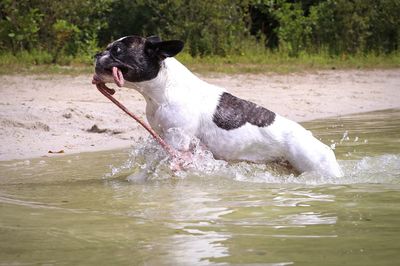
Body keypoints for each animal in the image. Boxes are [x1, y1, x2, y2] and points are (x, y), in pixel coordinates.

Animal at [94, 35, 344, 177]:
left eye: (117, 51)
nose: (97, 54)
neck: (164, 88)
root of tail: (312, 139)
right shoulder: (163, 135)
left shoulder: (177, 141)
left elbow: (157, 161)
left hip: (317, 165)